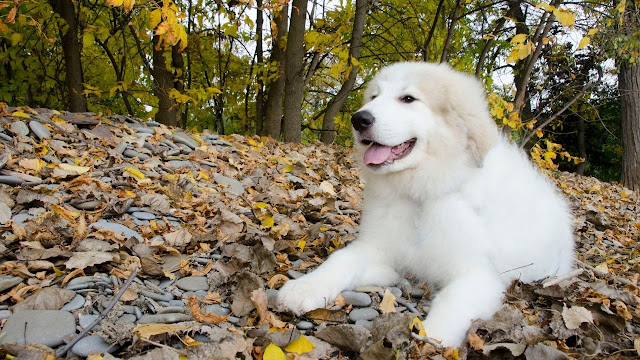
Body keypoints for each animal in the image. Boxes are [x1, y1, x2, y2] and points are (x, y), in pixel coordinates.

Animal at [278, 62, 572, 348]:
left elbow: (454, 300)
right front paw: (305, 288)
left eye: (408, 99)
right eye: (374, 97)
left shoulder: (478, 274)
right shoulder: (375, 246)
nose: (359, 119)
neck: (421, 193)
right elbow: (339, 260)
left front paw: (431, 336)